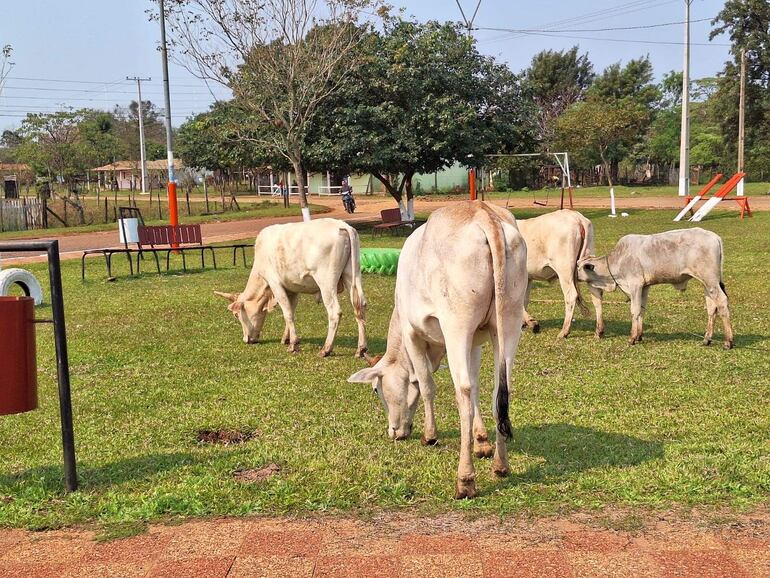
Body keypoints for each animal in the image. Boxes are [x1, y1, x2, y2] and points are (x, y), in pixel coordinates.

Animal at [212, 218, 364, 358]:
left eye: (236, 315)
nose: (246, 340)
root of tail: (342, 225)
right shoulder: (292, 288)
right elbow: (292, 310)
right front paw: (287, 338)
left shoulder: (275, 283)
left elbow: (287, 313)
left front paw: (293, 344)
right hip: (352, 275)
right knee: (360, 306)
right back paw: (361, 349)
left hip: (326, 281)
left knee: (334, 312)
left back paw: (326, 349)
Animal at [348, 200, 528, 498]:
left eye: (376, 390)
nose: (394, 431)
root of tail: (483, 213)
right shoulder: (476, 343)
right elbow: (477, 386)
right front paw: (481, 441)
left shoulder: (412, 333)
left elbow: (426, 384)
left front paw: (429, 435)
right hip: (509, 321)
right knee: (500, 391)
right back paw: (501, 465)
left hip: (456, 324)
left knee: (463, 391)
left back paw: (465, 480)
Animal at [512, 209, 604, 338]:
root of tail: (576, 217)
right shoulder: (528, 278)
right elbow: (523, 300)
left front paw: (532, 323)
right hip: (588, 263)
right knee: (596, 294)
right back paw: (599, 331)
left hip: (564, 269)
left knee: (571, 295)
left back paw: (564, 331)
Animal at [576, 227, 732, 348]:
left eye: (578, 267)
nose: (572, 273)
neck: (617, 260)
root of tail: (715, 237)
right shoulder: (644, 287)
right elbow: (642, 310)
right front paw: (639, 335)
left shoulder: (635, 285)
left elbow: (634, 310)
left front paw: (632, 338)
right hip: (708, 284)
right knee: (712, 307)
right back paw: (707, 339)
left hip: (710, 280)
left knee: (722, 302)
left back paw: (728, 341)